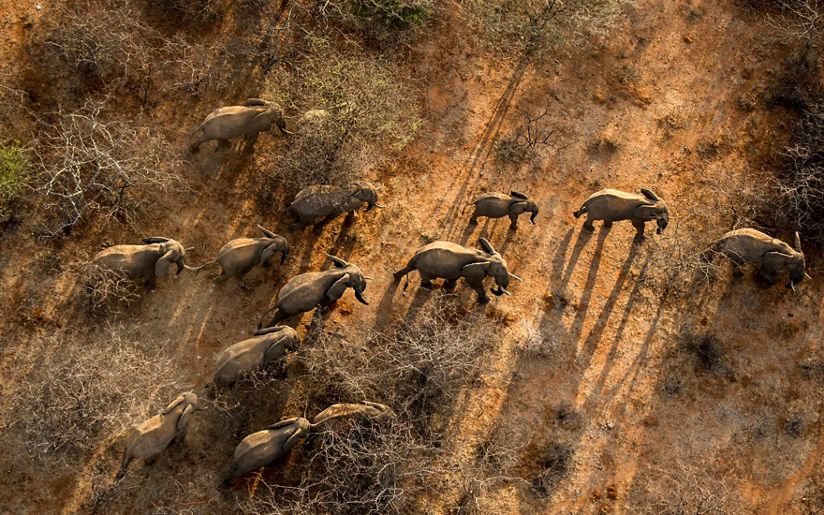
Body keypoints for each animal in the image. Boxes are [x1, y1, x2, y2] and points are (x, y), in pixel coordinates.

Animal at [393, 238, 521, 304]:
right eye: (499, 274)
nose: (493, 289)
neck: (487, 257)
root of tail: (418, 254)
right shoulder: (474, 273)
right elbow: (476, 284)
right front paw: (486, 301)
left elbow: (454, 276)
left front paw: (449, 287)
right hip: (427, 268)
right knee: (426, 277)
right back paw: (430, 287)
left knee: (411, 269)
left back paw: (396, 277)